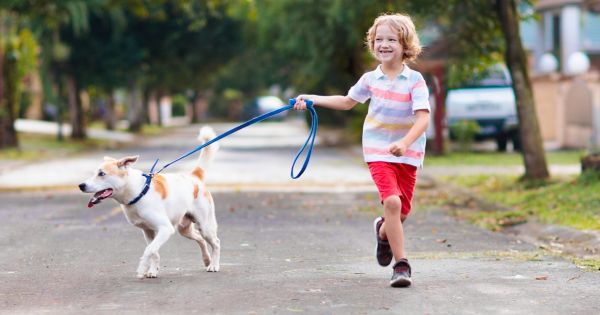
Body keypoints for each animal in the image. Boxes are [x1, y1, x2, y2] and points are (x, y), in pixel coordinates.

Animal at [79, 127, 220, 278]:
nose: (81, 185)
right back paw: (206, 260)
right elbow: (154, 252)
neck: (138, 192)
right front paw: (152, 270)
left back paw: (214, 265)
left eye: (101, 174)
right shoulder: (148, 231)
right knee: (201, 239)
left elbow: (149, 250)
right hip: (184, 229)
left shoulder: (165, 229)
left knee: (215, 243)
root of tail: (194, 177)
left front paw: (142, 268)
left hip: (204, 226)